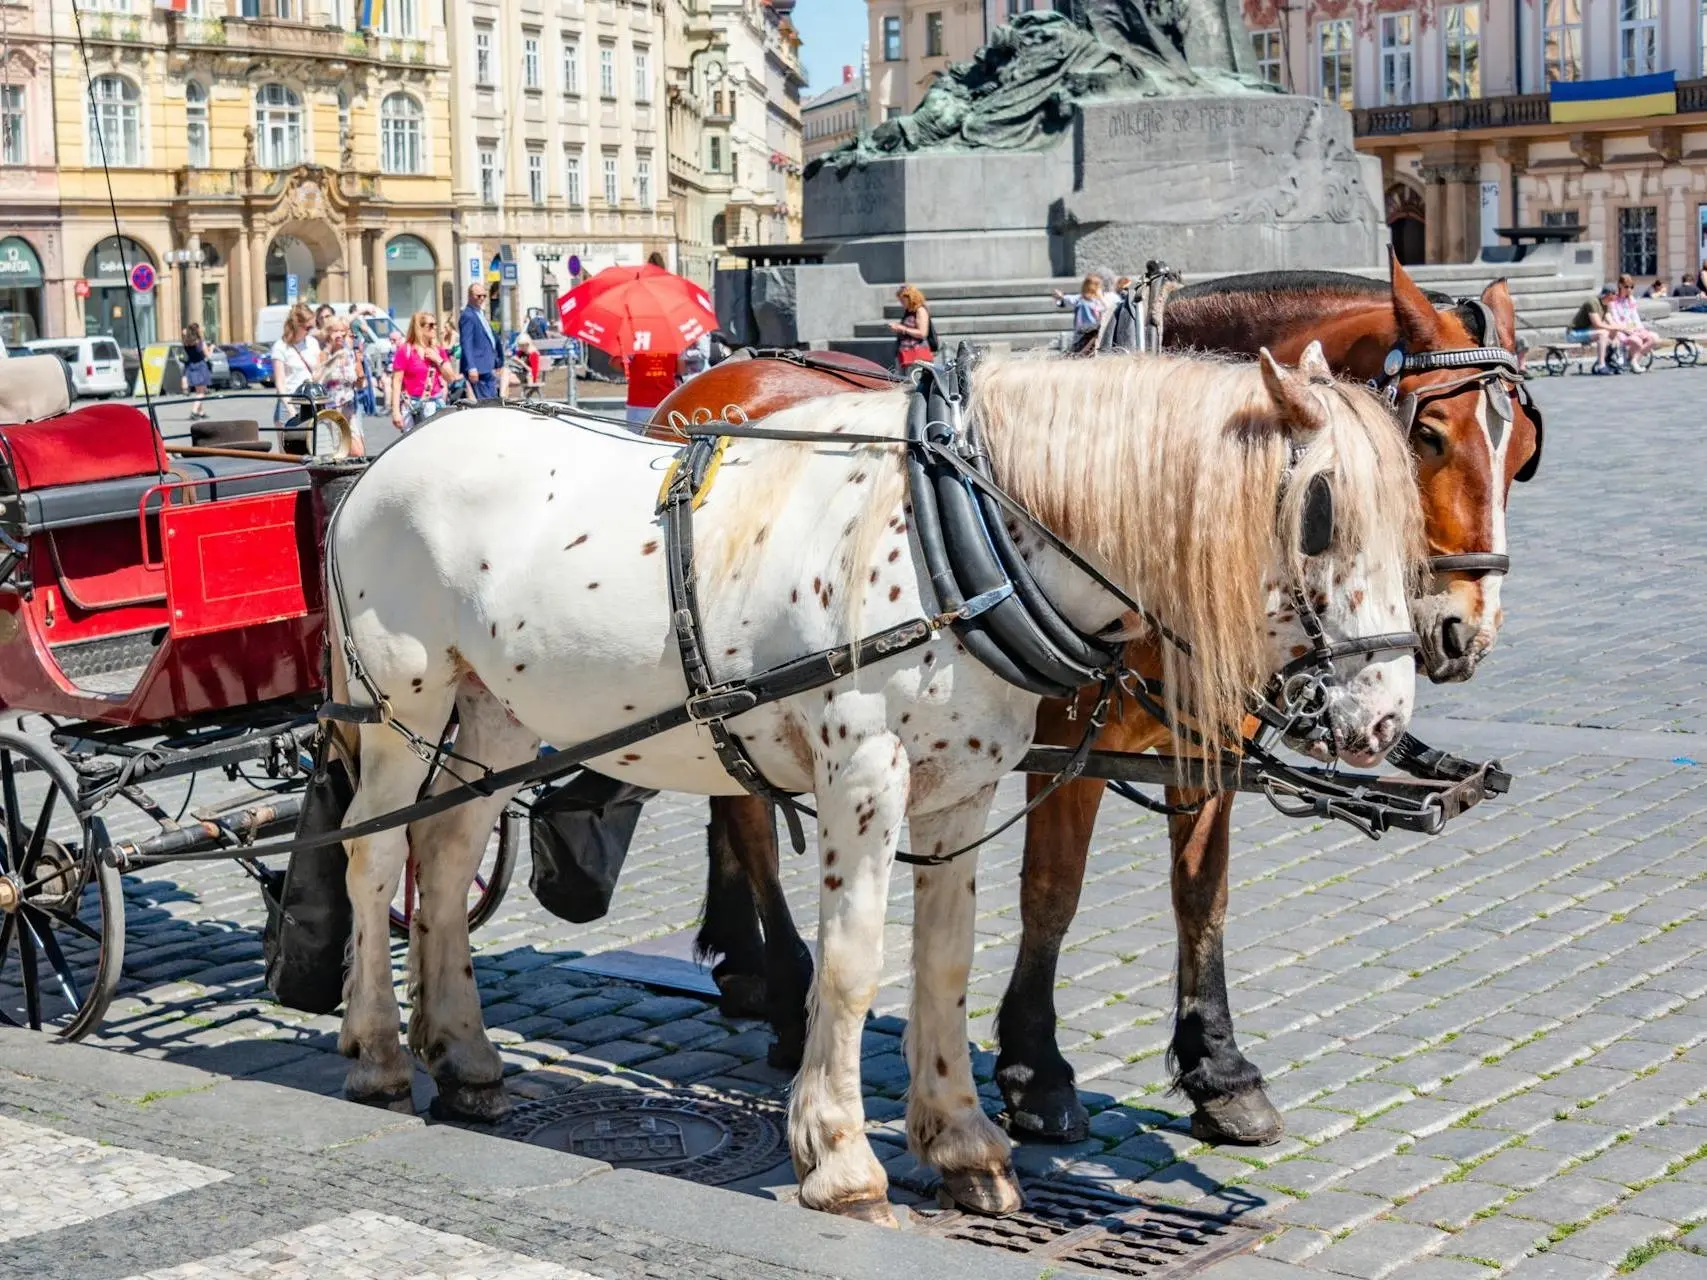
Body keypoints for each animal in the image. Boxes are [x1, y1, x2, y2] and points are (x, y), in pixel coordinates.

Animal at [645, 257, 1543, 1153]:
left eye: (1524, 455)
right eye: (1427, 437)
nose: (1464, 633)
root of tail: (722, 374)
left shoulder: (1209, 742)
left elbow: (1201, 892)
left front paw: (1218, 1068)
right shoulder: (1064, 747)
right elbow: (1052, 891)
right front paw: (1035, 1070)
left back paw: (744, 964)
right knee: (749, 823)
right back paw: (786, 991)